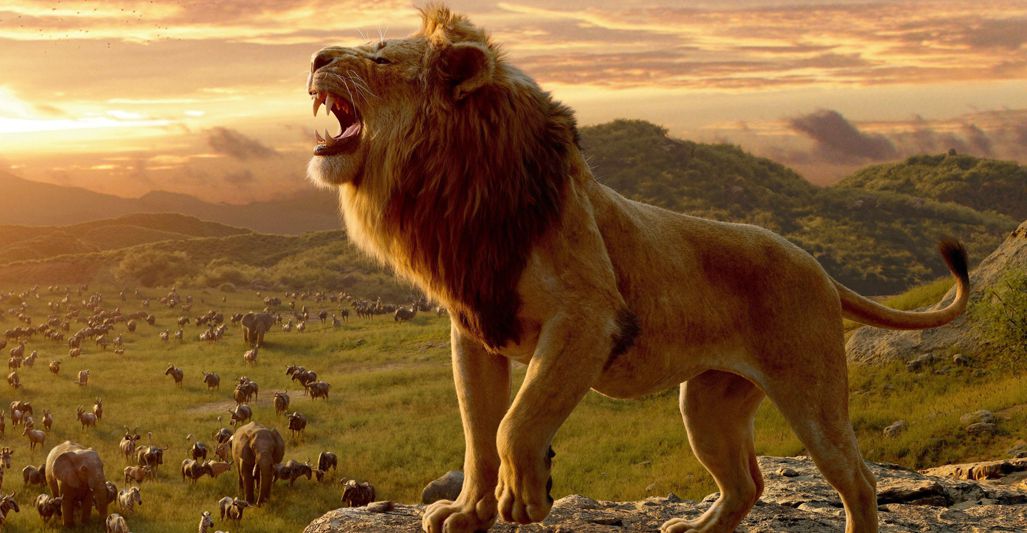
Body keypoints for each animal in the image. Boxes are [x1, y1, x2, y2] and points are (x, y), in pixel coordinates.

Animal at [305, 5, 969, 533]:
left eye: (380, 57)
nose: (314, 57)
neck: (454, 192)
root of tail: (819, 267)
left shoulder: (588, 318)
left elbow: (514, 423)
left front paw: (525, 499)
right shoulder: (474, 328)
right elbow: (477, 434)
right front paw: (468, 514)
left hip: (812, 396)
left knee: (857, 478)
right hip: (707, 405)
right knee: (747, 483)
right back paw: (695, 529)